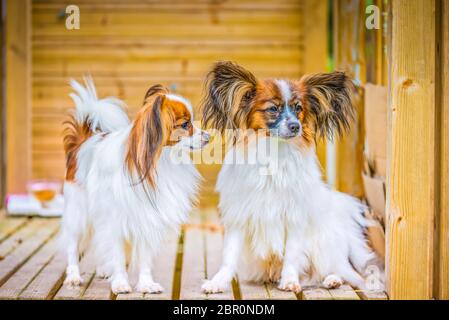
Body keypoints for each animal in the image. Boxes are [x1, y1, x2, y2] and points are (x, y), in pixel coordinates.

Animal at [59, 78, 210, 296]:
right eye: (185, 124)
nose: (208, 136)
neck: (159, 161)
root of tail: (81, 143)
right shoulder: (115, 221)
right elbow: (118, 255)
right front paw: (120, 283)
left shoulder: (147, 218)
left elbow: (144, 259)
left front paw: (146, 284)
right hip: (78, 214)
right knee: (72, 245)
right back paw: (73, 276)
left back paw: (103, 269)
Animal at [200, 61, 378, 294]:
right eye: (273, 109)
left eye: (298, 108)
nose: (296, 126)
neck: (274, 153)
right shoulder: (239, 216)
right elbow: (229, 257)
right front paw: (218, 282)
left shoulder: (295, 217)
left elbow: (292, 254)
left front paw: (290, 280)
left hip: (323, 245)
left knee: (340, 269)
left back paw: (332, 279)